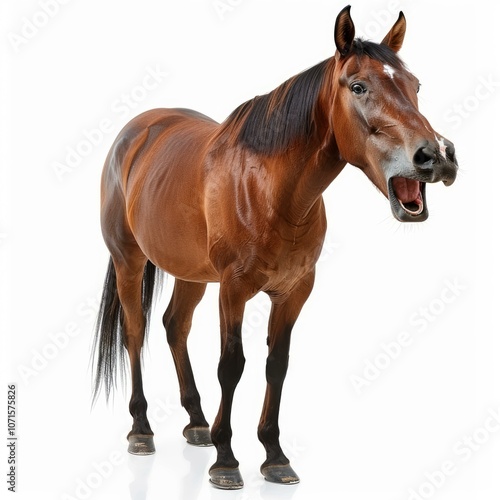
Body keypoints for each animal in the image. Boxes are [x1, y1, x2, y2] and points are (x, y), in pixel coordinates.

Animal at [90, 5, 458, 490]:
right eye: (358, 86)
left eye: (415, 85)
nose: (436, 157)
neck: (272, 191)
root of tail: (136, 131)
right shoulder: (233, 289)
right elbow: (232, 364)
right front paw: (227, 460)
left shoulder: (293, 291)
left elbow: (276, 365)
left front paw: (274, 456)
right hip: (129, 261)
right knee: (135, 331)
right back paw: (141, 429)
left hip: (192, 272)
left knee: (174, 326)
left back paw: (196, 422)